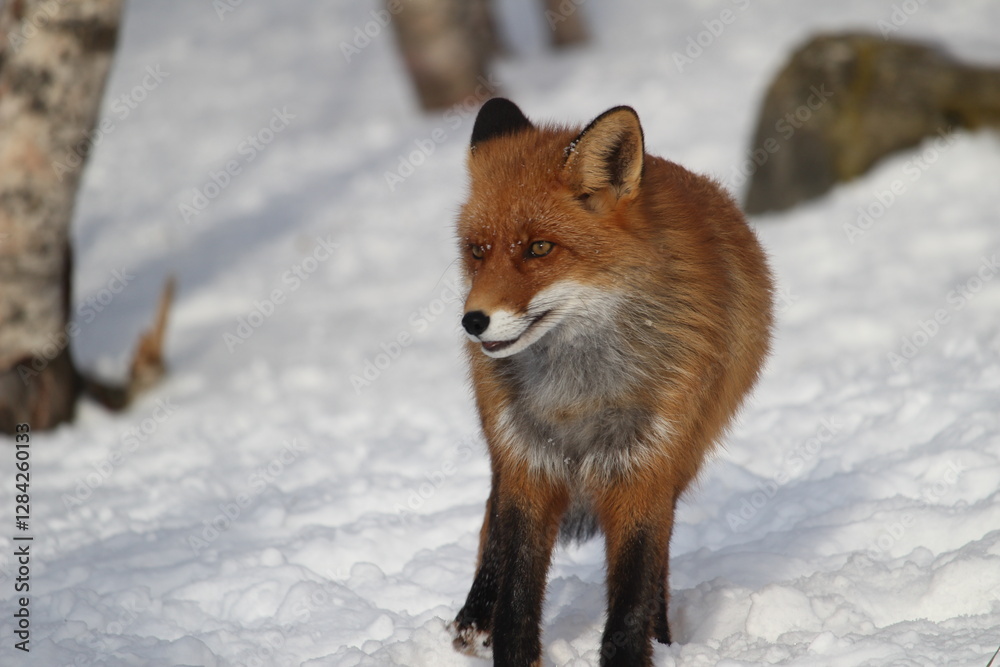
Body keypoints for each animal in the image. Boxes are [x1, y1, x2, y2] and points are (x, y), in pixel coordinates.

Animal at [449, 98, 774, 667]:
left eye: (539, 248)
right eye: (478, 250)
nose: (473, 322)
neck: (576, 395)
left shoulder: (645, 469)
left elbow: (633, 594)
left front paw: (637, 651)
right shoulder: (529, 463)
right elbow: (516, 587)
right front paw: (510, 648)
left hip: (682, 461)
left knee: (660, 565)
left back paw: (664, 635)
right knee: (492, 528)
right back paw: (472, 617)